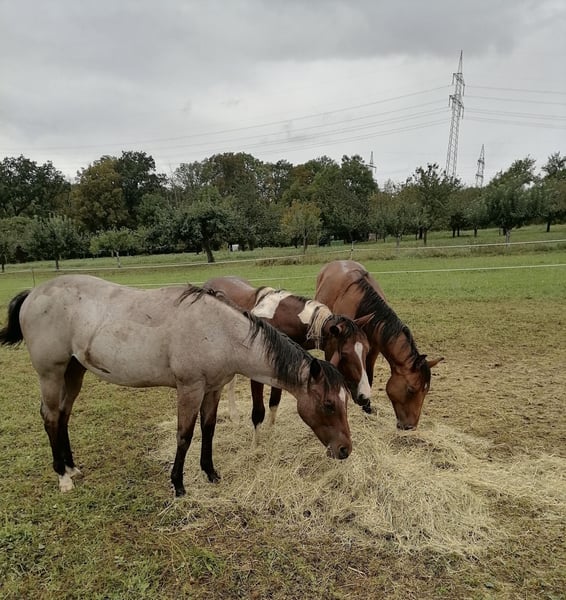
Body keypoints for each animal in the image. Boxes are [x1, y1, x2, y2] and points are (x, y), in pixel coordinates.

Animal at [0, 274, 352, 497]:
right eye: (328, 404)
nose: (345, 450)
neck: (220, 330)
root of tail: (34, 293)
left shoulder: (213, 389)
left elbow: (208, 430)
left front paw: (210, 473)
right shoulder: (190, 389)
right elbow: (184, 435)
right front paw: (179, 484)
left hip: (73, 372)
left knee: (63, 415)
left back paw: (72, 468)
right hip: (51, 373)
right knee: (50, 417)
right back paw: (62, 477)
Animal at [203, 276, 372, 436]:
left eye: (367, 349)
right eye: (344, 354)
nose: (365, 396)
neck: (278, 320)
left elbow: (274, 402)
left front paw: (270, 434)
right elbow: (258, 412)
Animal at [315, 260, 443, 430]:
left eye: (426, 390)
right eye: (411, 390)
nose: (410, 426)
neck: (362, 304)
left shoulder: (372, 352)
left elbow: (368, 377)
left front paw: (367, 407)